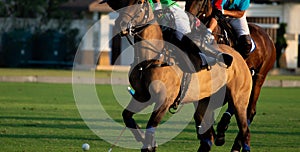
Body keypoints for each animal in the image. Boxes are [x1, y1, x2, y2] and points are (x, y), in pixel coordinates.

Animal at [103, 0, 253, 151]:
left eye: (139, 2)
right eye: (124, 3)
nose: (120, 24)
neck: (152, 59)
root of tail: (239, 56)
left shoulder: (164, 100)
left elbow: (150, 127)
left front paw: (149, 143)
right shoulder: (142, 96)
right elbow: (127, 116)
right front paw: (141, 137)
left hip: (239, 99)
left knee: (245, 131)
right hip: (204, 102)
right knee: (208, 137)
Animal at [186, 0, 278, 150]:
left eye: (201, 2)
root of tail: (268, 37)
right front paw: (207, 134)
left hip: (259, 77)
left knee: (249, 110)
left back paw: (235, 142)